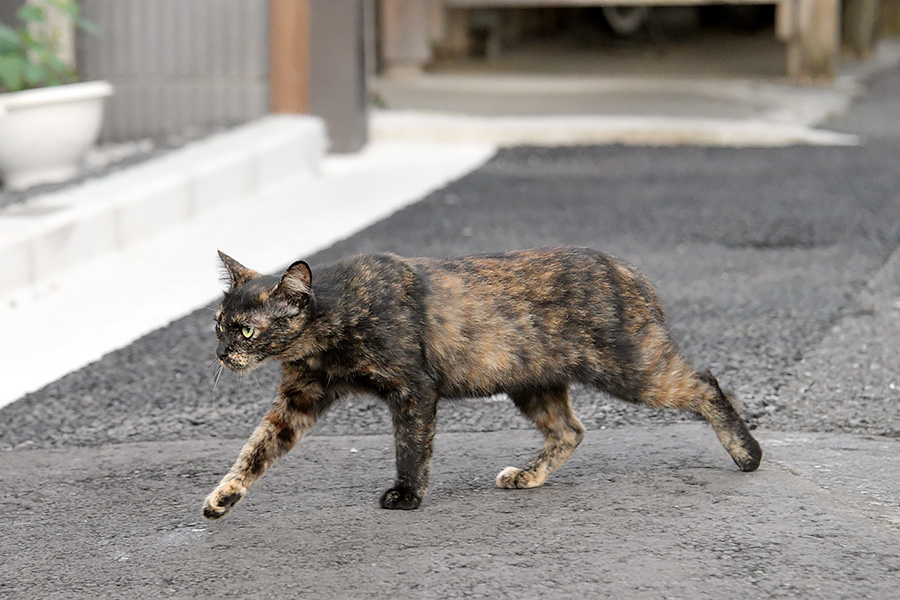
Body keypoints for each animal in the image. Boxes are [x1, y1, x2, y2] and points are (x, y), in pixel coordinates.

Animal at [202, 246, 760, 516]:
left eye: (247, 329)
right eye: (218, 323)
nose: (222, 353)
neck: (332, 322)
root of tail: (624, 268)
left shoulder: (413, 390)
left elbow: (411, 447)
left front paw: (407, 496)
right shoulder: (299, 398)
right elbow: (256, 450)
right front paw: (222, 499)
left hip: (632, 371)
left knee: (705, 383)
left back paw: (747, 454)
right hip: (532, 383)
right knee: (570, 430)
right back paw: (527, 476)